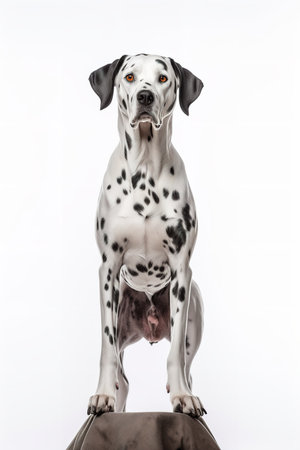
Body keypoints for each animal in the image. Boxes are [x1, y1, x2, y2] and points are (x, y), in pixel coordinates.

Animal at [86, 52, 206, 418]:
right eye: (129, 76)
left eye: (163, 78)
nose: (145, 96)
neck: (145, 173)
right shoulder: (108, 269)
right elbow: (106, 351)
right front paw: (102, 396)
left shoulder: (181, 271)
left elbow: (175, 357)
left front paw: (182, 397)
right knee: (122, 376)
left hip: (194, 310)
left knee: (187, 365)